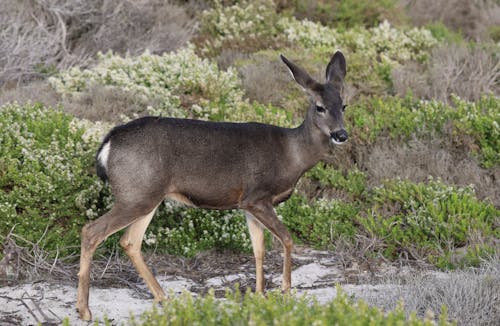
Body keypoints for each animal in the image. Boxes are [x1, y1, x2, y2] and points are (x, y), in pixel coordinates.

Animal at [76, 51, 348, 320]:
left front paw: (260, 297)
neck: (292, 155)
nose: (341, 135)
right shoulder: (257, 197)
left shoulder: (248, 206)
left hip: (147, 195)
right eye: (320, 107)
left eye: (343, 105)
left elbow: (258, 249)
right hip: (135, 195)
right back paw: (85, 310)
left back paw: (164, 298)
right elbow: (287, 239)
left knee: (129, 241)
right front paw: (285, 292)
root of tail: (108, 142)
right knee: (91, 231)